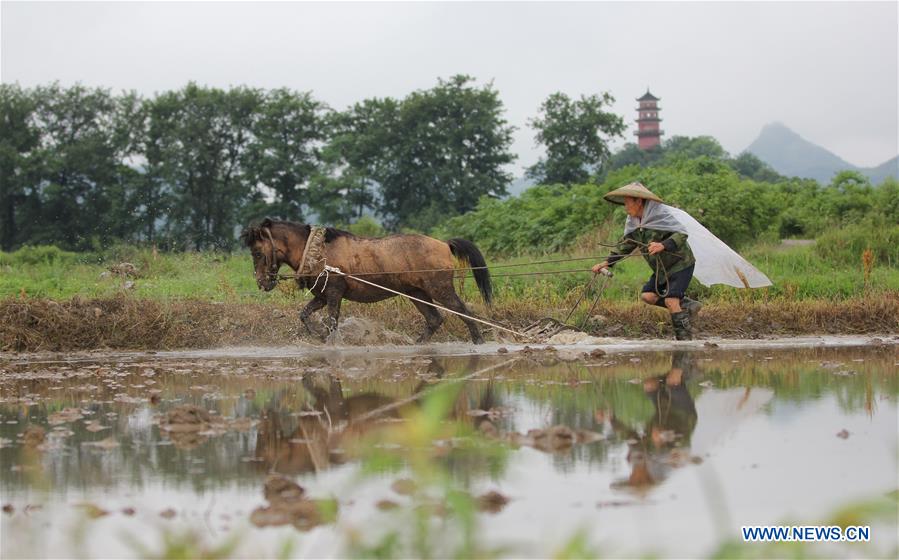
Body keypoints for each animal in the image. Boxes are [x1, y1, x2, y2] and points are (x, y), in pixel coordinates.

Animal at [239, 218, 492, 342]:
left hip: (440, 289)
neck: (318, 250)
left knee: (464, 312)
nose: (262, 282)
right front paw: (316, 335)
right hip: (417, 293)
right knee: (434, 319)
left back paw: (478, 342)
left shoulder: (334, 292)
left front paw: (329, 341)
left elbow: (332, 321)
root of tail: (444, 244)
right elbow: (304, 315)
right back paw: (419, 343)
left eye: (258, 253)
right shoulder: (321, 296)